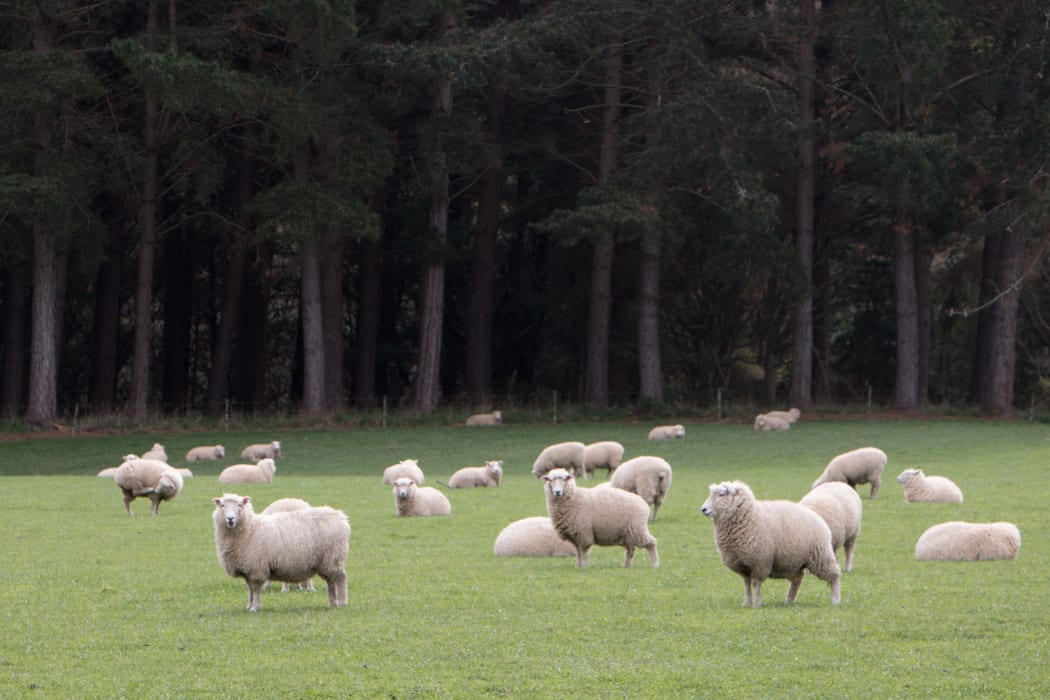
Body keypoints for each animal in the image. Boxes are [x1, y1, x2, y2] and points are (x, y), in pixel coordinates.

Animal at [212, 493, 349, 612]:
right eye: (222, 505)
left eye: (240, 504)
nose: (230, 519)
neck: (250, 528)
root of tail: (341, 517)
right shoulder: (248, 568)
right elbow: (250, 590)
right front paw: (249, 606)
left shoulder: (256, 568)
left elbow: (255, 589)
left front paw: (255, 607)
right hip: (326, 561)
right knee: (330, 581)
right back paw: (332, 603)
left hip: (334, 557)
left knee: (341, 578)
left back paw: (342, 602)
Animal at [701, 480, 841, 607]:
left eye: (721, 494)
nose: (703, 509)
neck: (750, 517)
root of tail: (817, 517)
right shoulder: (743, 565)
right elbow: (746, 584)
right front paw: (747, 603)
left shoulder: (759, 562)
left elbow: (755, 584)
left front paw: (757, 604)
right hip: (794, 562)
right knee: (797, 579)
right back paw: (789, 600)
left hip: (820, 556)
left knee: (834, 575)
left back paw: (835, 600)